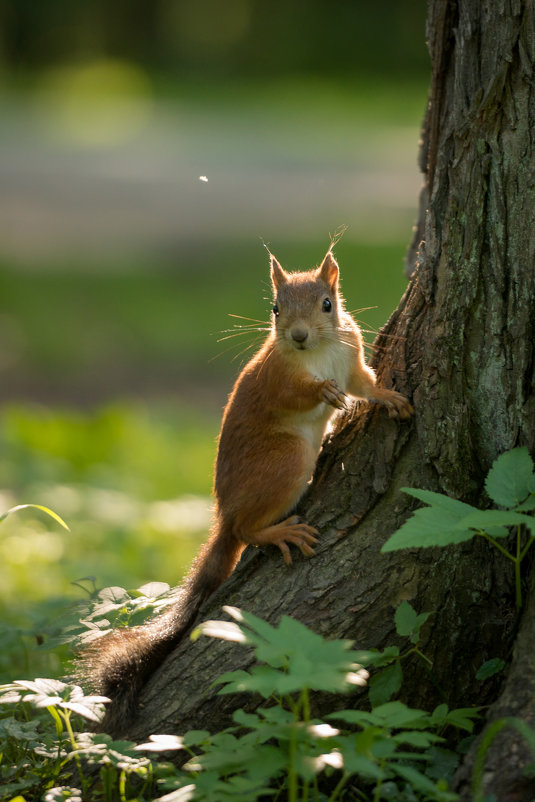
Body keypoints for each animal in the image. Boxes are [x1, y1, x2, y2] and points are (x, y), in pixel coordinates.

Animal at [79, 250, 414, 732]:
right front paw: (323, 391)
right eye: (275, 308)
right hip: (287, 461)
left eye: (327, 304)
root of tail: (226, 514)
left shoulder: (351, 359)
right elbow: (300, 394)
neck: (319, 351)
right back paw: (278, 532)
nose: (297, 336)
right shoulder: (278, 378)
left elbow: (363, 385)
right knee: (247, 531)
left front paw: (389, 397)